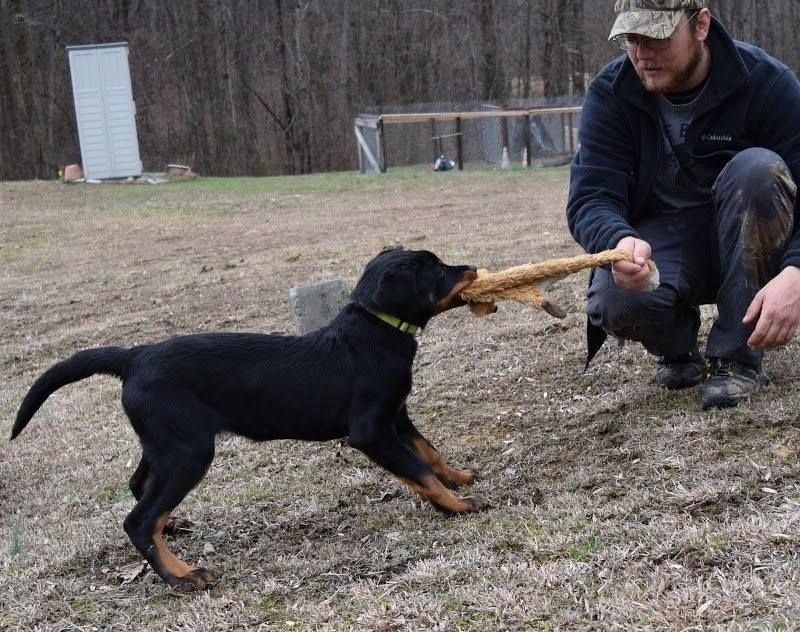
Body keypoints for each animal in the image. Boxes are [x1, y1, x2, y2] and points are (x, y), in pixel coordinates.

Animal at [10, 248, 488, 592]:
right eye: (438, 270)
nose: (473, 267)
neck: (376, 331)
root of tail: (133, 357)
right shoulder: (371, 430)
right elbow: (418, 468)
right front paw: (457, 504)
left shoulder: (398, 415)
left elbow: (429, 451)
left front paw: (459, 477)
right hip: (190, 451)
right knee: (138, 520)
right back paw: (183, 576)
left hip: (167, 443)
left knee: (140, 489)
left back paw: (174, 526)